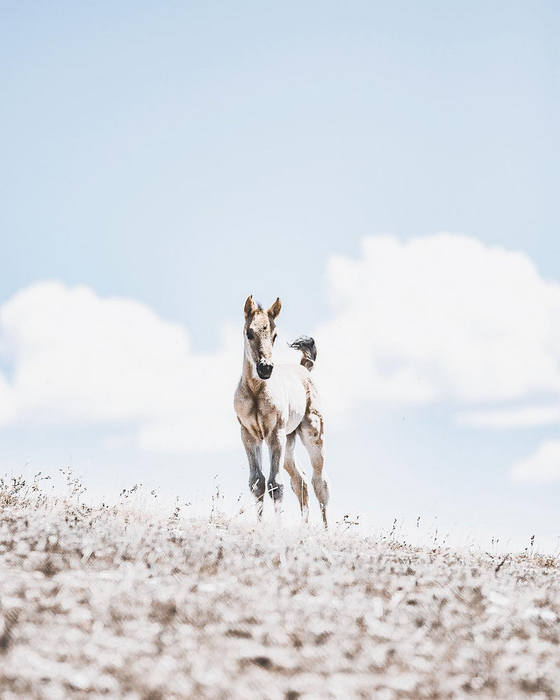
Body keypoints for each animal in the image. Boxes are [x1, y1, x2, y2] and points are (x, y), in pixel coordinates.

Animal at [232, 294, 328, 524]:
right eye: (249, 332)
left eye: (275, 335)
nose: (265, 368)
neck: (257, 391)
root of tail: (304, 367)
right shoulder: (249, 435)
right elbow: (257, 482)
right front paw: (260, 526)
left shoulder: (274, 434)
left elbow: (275, 484)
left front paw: (278, 527)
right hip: (289, 442)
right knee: (300, 481)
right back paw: (304, 527)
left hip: (312, 434)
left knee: (319, 482)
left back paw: (326, 529)